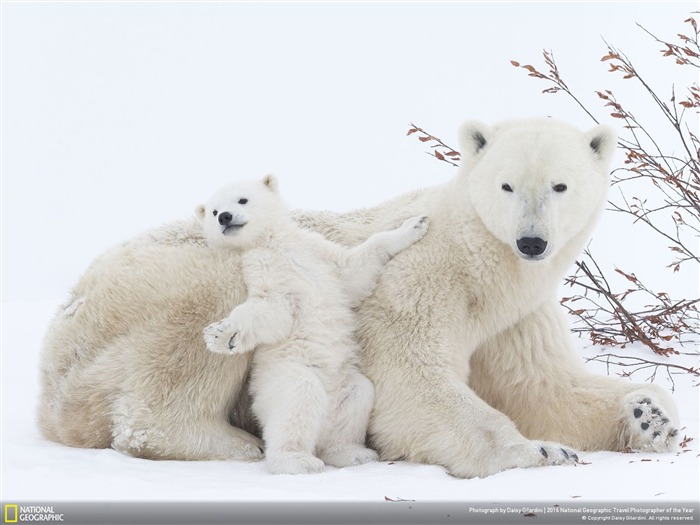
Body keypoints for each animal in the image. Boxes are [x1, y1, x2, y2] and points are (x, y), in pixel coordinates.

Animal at [194, 176, 430, 474]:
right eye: (213, 211)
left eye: (242, 199)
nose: (224, 217)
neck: (273, 244)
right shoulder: (261, 268)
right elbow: (271, 309)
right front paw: (222, 335)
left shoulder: (316, 250)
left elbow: (352, 270)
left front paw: (415, 224)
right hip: (284, 377)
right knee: (297, 402)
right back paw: (298, 460)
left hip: (344, 384)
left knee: (357, 398)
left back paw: (352, 453)